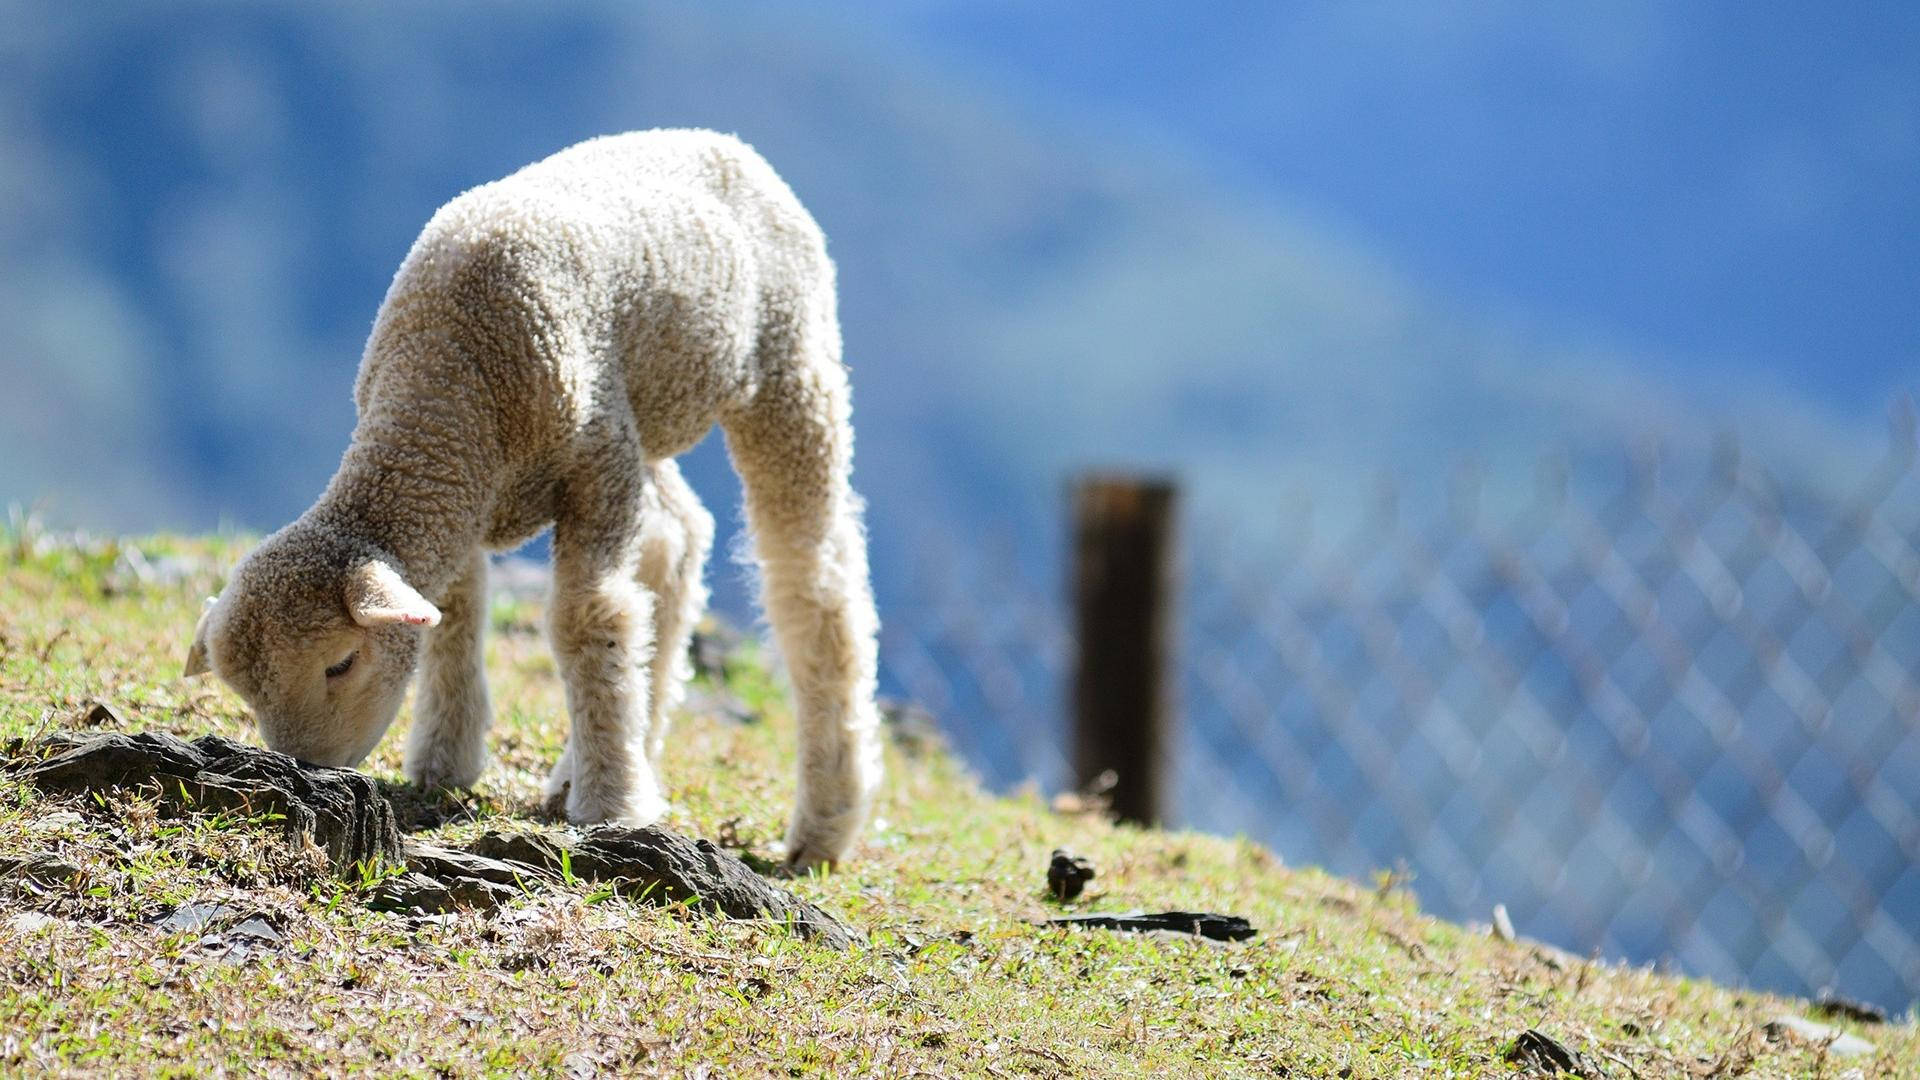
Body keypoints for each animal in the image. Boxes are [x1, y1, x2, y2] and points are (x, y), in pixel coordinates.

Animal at [180, 127, 883, 864]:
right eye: (246, 695)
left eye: (340, 663)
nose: (312, 771)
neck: (448, 375)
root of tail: (724, 141)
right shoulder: (466, 493)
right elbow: (454, 615)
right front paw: (445, 760)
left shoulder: (595, 463)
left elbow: (589, 619)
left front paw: (611, 803)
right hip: (643, 414)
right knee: (679, 537)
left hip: (787, 368)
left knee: (812, 580)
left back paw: (824, 820)